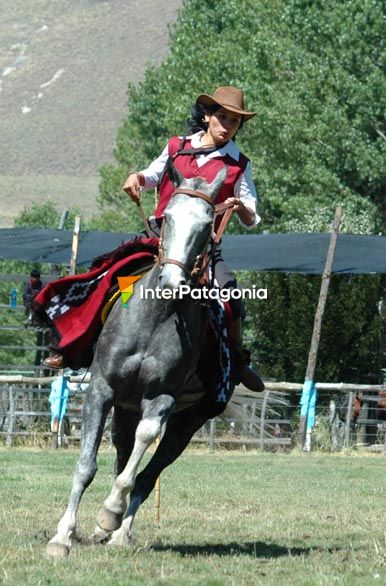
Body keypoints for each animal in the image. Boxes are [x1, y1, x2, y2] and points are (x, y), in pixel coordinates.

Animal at [47, 162, 229, 556]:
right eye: (168, 217)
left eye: (208, 223)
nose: (173, 281)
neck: (157, 315)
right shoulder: (102, 390)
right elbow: (86, 466)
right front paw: (62, 536)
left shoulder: (162, 398)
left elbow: (144, 446)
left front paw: (111, 512)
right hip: (124, 409)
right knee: (121, 456)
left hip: (186, 423)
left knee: (147, 475)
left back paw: (118, 531)